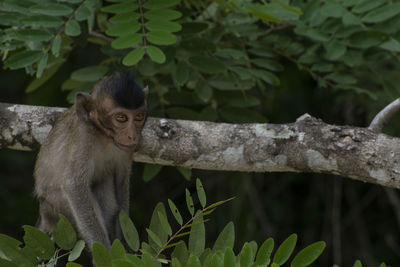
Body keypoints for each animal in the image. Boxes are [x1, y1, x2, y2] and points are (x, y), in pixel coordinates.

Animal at [33, 73, 148, 255]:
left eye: (138, 117)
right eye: (121, 118)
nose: (132, 135)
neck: (104, 136)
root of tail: (44, 213)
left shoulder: (127, 150)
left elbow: (121, 182)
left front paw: (125, 244)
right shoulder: (84, 137)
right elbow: (74, 185)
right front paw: (106, 253)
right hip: (58, 210)